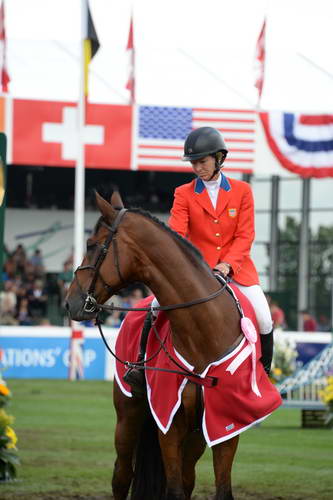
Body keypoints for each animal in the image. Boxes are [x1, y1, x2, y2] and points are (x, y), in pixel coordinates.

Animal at [65, 191, 246, 500]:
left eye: (91, 245)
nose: (70, 302)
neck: (204, 331)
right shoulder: (169, 421)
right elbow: (172, 490)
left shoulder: (223, 425)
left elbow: (220, 490)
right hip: (128, 416)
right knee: (121, 475)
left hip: (196, 435)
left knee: (187, 477)